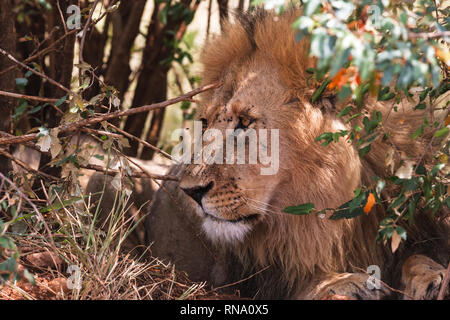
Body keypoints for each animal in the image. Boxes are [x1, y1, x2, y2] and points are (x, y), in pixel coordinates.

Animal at [146, 10, 448, 300]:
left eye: (245, 122)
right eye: (205, 122)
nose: (190, 192)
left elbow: (417, 256)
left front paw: (431, 278)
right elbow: (310, 281)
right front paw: (344, 282)